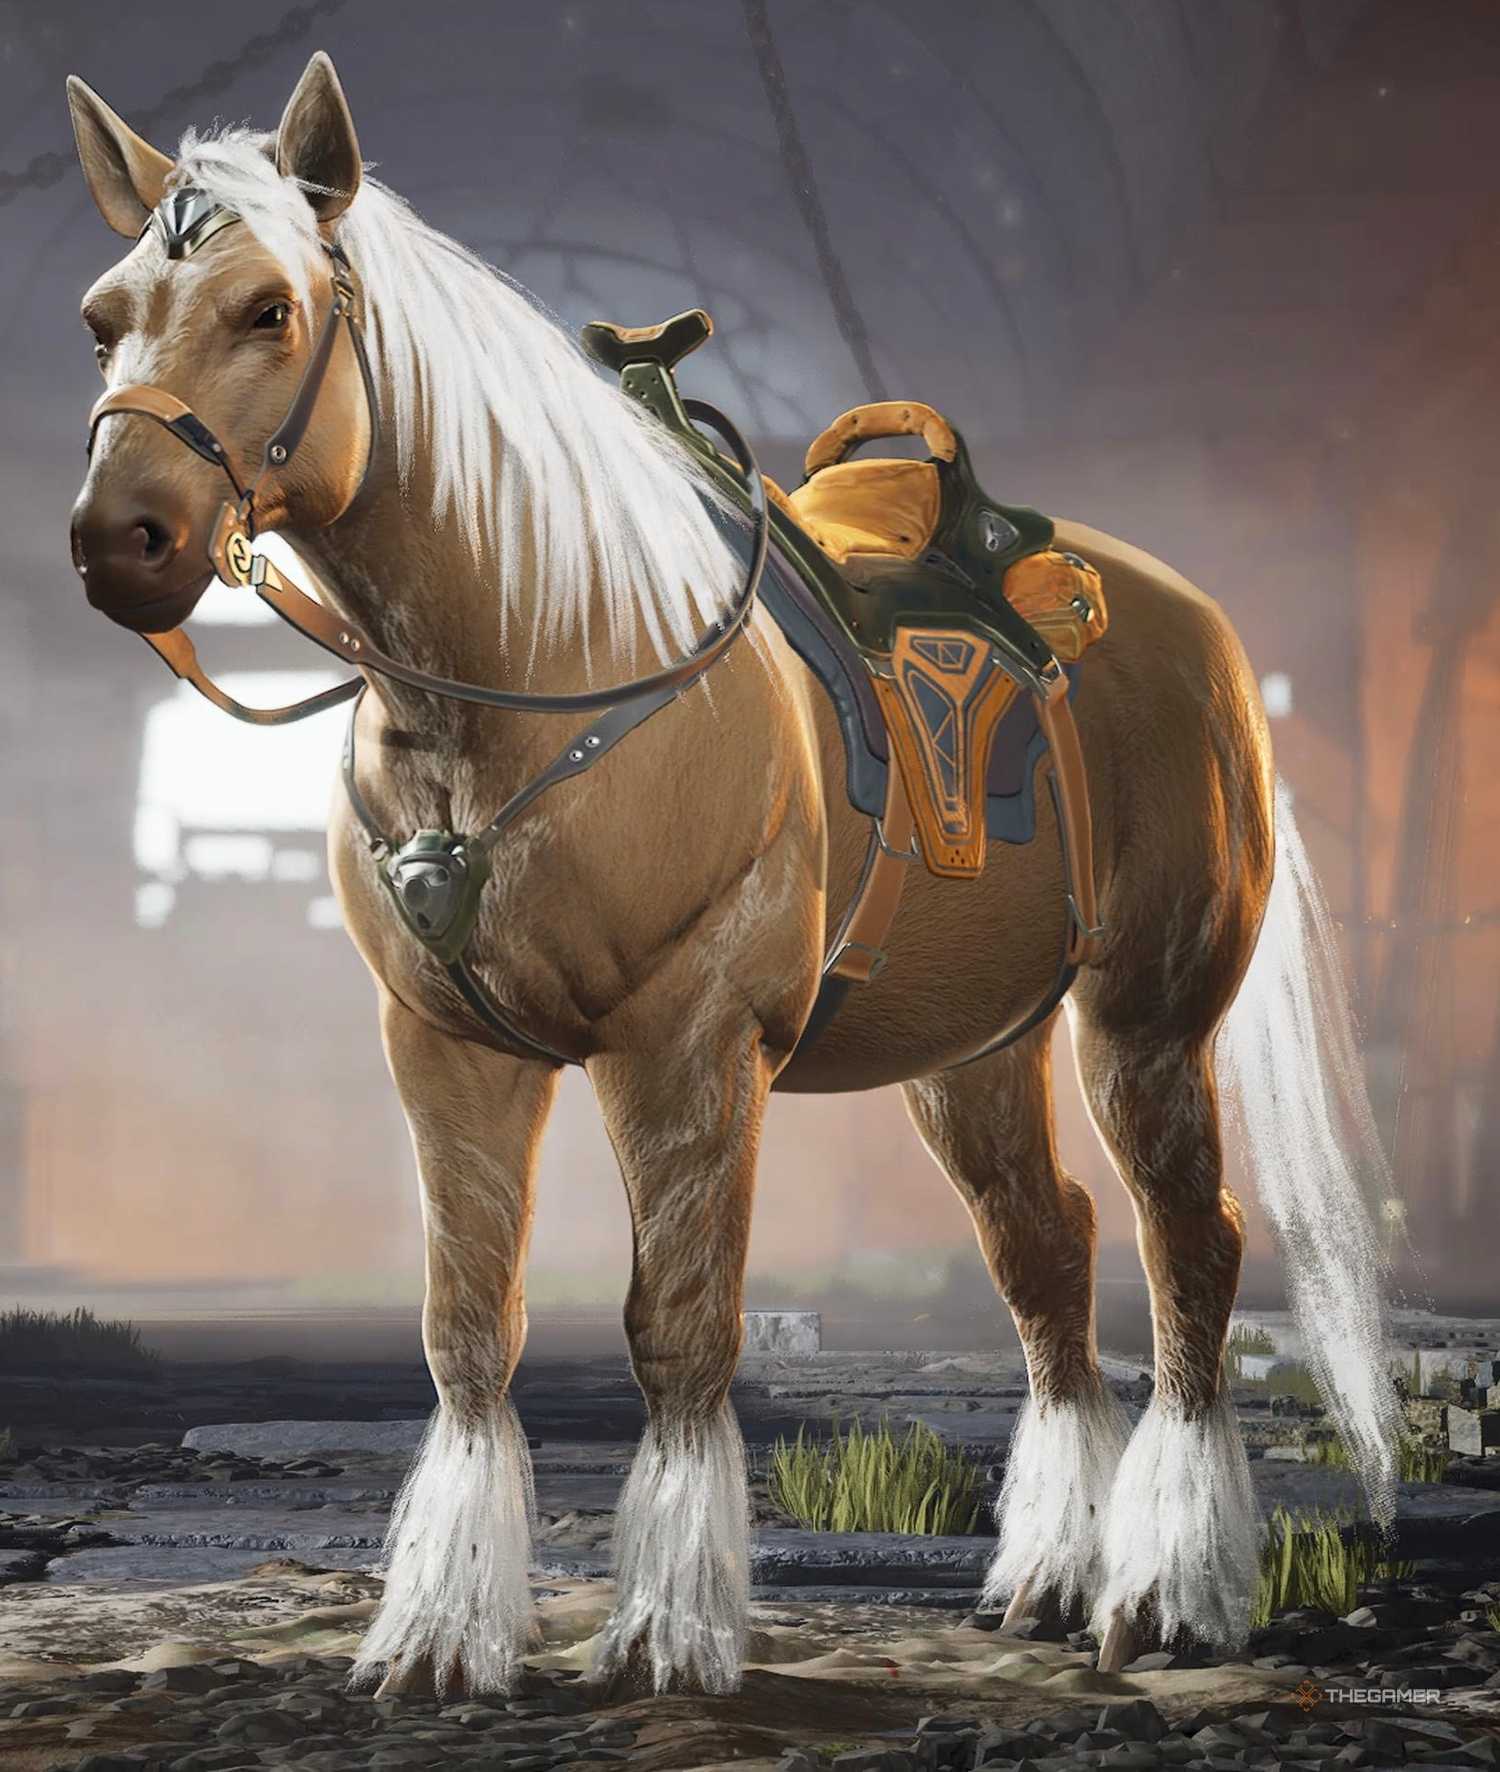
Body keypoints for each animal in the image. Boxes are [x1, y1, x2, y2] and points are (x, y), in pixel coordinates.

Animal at [65, 52, 1399, 1699]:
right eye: (104, 316)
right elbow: (466, 1327)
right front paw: (438, 1640)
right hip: (974, 1051)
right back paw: (1050, 1577)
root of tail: (1193, 621)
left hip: (1144, 1020)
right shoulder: (445, 1051)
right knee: (1048, 1253)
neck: (543, 657)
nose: (120, 541)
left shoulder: (689, 1045)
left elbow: (683, 1330)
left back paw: (1166, 1597)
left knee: (1188, 1249)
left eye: (268, 308)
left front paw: (664, 1636)